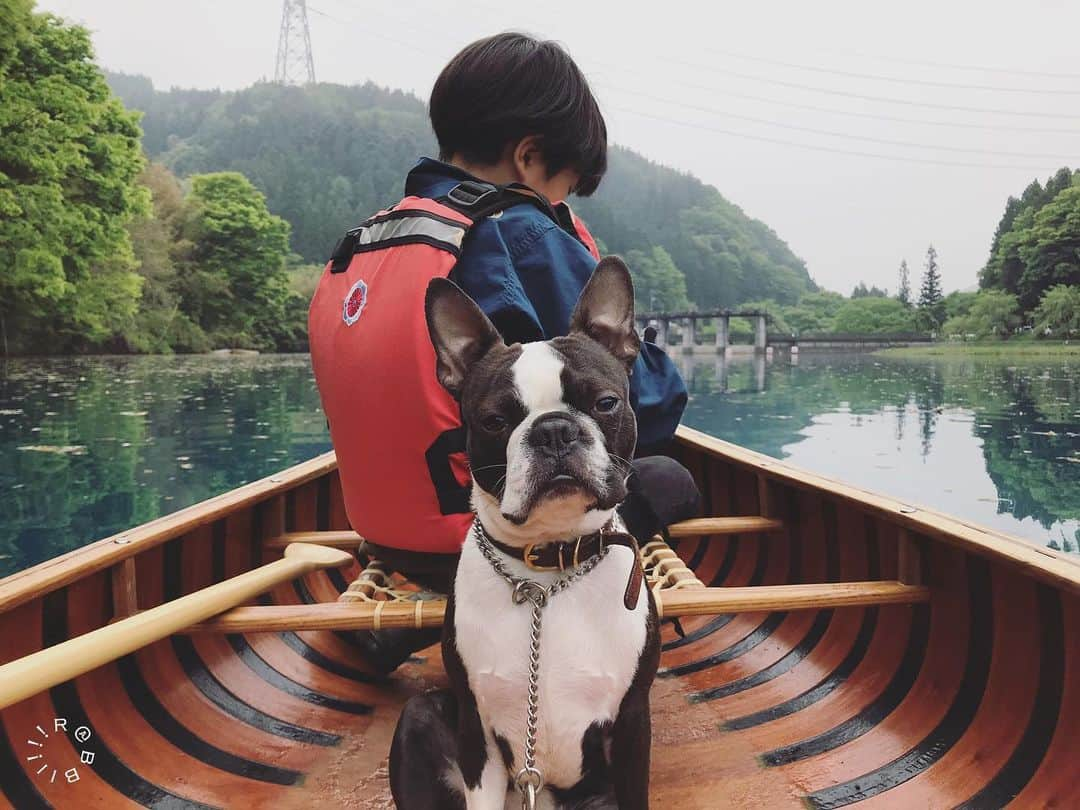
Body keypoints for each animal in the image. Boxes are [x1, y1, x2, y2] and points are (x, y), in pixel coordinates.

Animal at [390, 260, 656, 810]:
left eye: (605, 403)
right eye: (494, 420)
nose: (553, 429)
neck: (548, 572)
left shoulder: (632, 723)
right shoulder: (480, 733)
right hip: (422, 717)